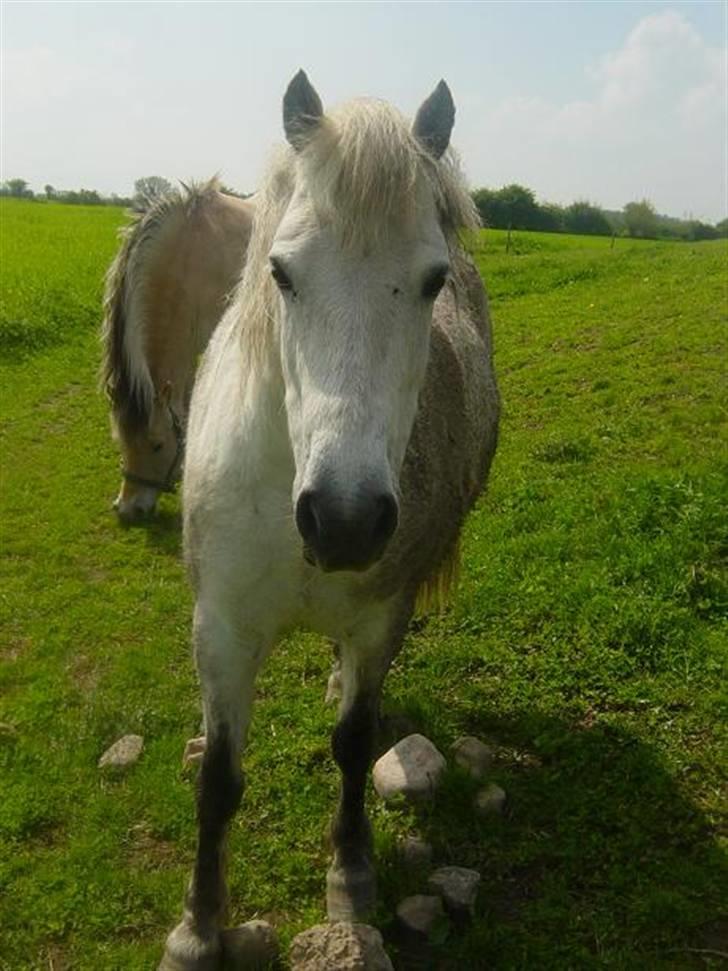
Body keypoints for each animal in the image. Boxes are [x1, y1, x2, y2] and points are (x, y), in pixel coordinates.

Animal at [161, 72, 500, 968]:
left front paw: (351, 874)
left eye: (431, 279)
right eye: (282, 272)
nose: (344, 520)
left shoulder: (382, 617)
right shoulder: (222, 630)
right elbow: (219, 780)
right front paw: (199, 925)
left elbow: (354, 743)